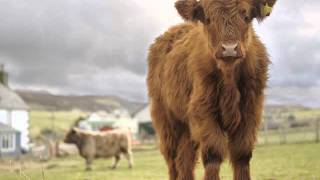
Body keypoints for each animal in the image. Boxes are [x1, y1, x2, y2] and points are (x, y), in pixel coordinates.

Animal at [148, 0, 278, 180]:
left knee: (185, 159)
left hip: (187, 128)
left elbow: (242, 154)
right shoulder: (203, 111)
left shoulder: (251, 111)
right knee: (173, 160)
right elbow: (213, 154)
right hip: (167, 119)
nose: (229, 48)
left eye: (246, 17)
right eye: (208, 19)